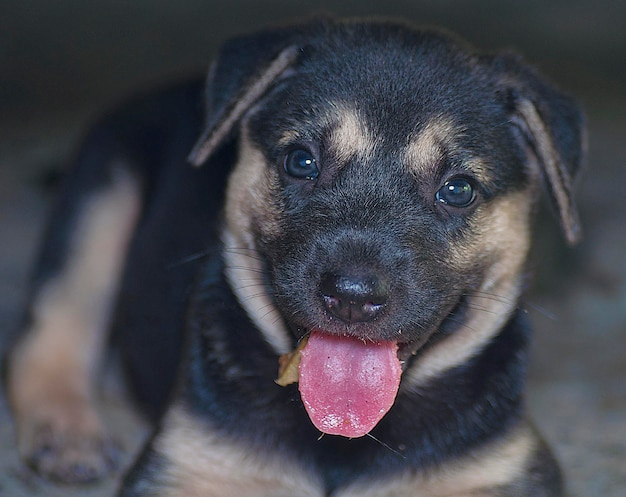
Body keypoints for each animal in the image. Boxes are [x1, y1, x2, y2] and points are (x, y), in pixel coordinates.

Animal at [4, 17, 584, 494]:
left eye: (458, 190)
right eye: (301, 161)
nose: (352, 297)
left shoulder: (501, 472)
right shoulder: (189, 462)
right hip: (100, 193)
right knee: (52, 324)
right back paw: (67, 433)